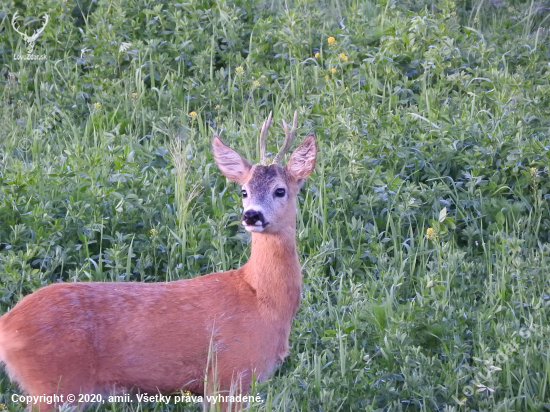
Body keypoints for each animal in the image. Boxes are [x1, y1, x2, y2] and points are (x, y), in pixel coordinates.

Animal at [0, 111, 320, 410]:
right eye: (244, 191)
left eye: (280, 190)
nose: (251, 215)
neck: (261, 299)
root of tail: (7, 325)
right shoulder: (230, 373)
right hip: (54, 385)